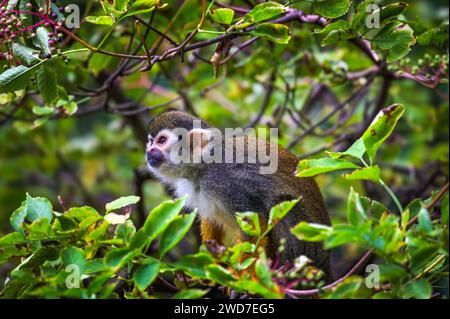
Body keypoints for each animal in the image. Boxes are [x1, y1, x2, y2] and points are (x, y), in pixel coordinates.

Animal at [146, 112, 332, 280]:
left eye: (161, 141)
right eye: (150, 141)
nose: (149, 151)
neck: (201, 168)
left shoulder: (228, 183)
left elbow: (254, 224)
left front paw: (244, 276)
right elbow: (212, 221)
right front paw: (210, 266)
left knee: (283, 203)